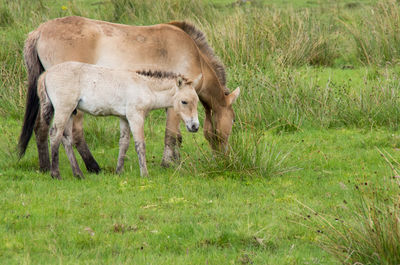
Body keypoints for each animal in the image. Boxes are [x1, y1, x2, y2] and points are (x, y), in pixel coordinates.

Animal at [37, 60, 200, 178]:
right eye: (184, 101)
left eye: (197, 101)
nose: (195, 126)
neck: (144, 86)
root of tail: (47, 73)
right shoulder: (136, 116)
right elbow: (140, 144)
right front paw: (145, 174)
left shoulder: (124, 118)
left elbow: (124, 143)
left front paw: (119, 172)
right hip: (63, 109)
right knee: (55, 135)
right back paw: (55, 174)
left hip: (71, 112)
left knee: (66, 138)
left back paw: (78, 174)